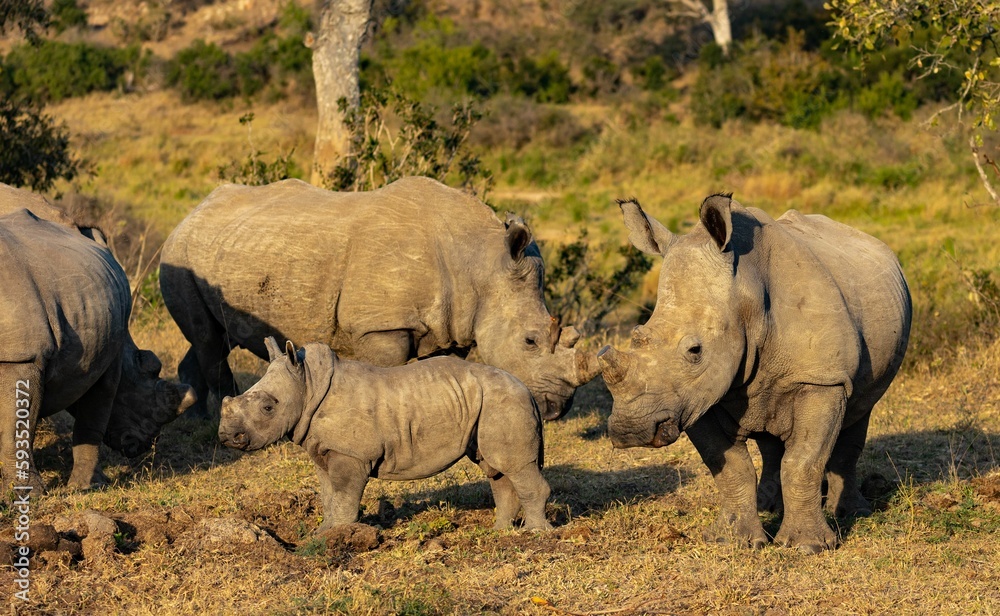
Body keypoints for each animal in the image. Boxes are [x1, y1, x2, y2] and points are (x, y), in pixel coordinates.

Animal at [0, 206, 197, 492]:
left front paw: (75, 489)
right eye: (148, 370)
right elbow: (18, 425)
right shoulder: (21, 356)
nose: (144, 444)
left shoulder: (25, 354)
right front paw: (33, 494)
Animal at [160, 177, 598, 420]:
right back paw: (214, 417)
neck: (478, 261)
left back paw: (194, 417)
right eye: (530, 341)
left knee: (211, 337)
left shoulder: (453, 324)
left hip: (221, 250)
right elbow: (386, 373)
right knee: (208, 339)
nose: (559, 409)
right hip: (179, 255)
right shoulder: (381, 326)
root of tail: (190, 214)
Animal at [219, 337, 552, 531]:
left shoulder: (350, 454)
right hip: (489, 405)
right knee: (496, 468)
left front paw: (342, 537)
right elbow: (328, 495)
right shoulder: (323, 449)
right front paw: (323, 534)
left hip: (504, 403)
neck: (308, 383)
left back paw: (534, 535)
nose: (226, 436)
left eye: (267, 407)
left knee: (513, 466)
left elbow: (343, 496)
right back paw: (501, 532)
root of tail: (527, 390)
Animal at [598, 194, 911, 553]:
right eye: (638, 336)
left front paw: (808, 547)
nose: (630, 430)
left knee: (859, 412)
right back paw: (769, 507)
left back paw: (849, 512)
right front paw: (732, 540)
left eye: (695, 351)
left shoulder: (821, 378)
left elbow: (803, 461)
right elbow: (730, 467)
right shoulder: (695, 397)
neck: (744, 296)